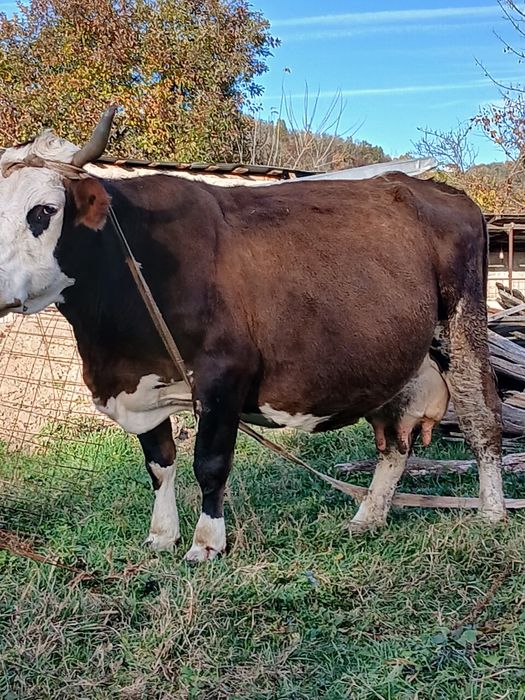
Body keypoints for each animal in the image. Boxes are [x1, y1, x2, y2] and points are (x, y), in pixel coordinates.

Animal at [0, 109, 506, 561]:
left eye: (43, 211)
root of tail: (438, 189)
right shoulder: (144, 386)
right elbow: (160, 463)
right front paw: (162, 537)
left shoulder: (224, 376)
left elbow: (209, 463)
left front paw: (206, 544)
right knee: (396, 440)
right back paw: (368, 516)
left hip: (462, 328)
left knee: (481, 415)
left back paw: (492, 514)